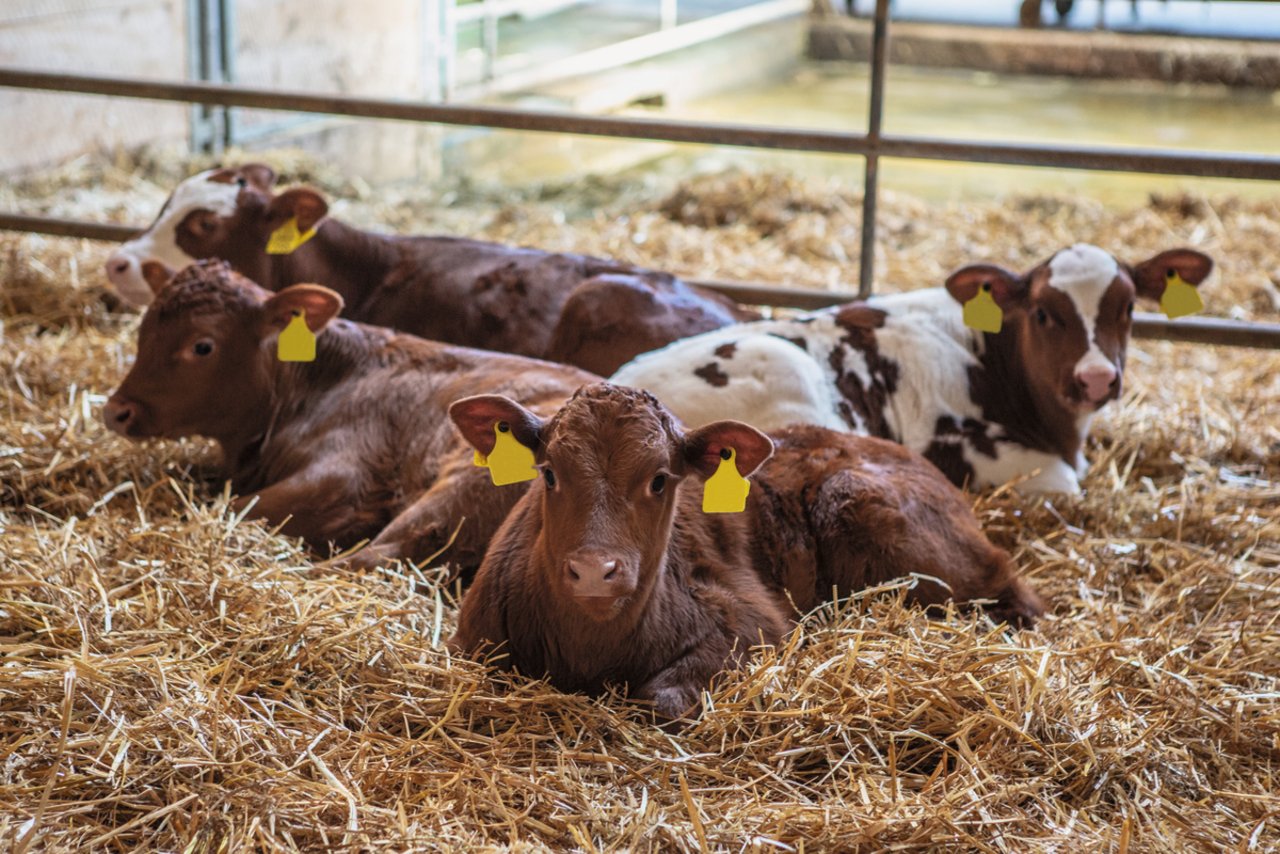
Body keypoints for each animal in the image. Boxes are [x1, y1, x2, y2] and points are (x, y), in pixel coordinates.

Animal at [103, 261, 593, 568]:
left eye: (202, 345)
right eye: (143, 330)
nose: (116, 411)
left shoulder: (345, 476)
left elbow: (235, 506)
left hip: (457, 490)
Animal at [448, 386, 1039, 722]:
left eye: (660, 479)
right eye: (548, 473)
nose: (596, 571)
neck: (590, 649)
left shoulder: (755, 621)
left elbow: (660, 697)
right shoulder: (476, 642)